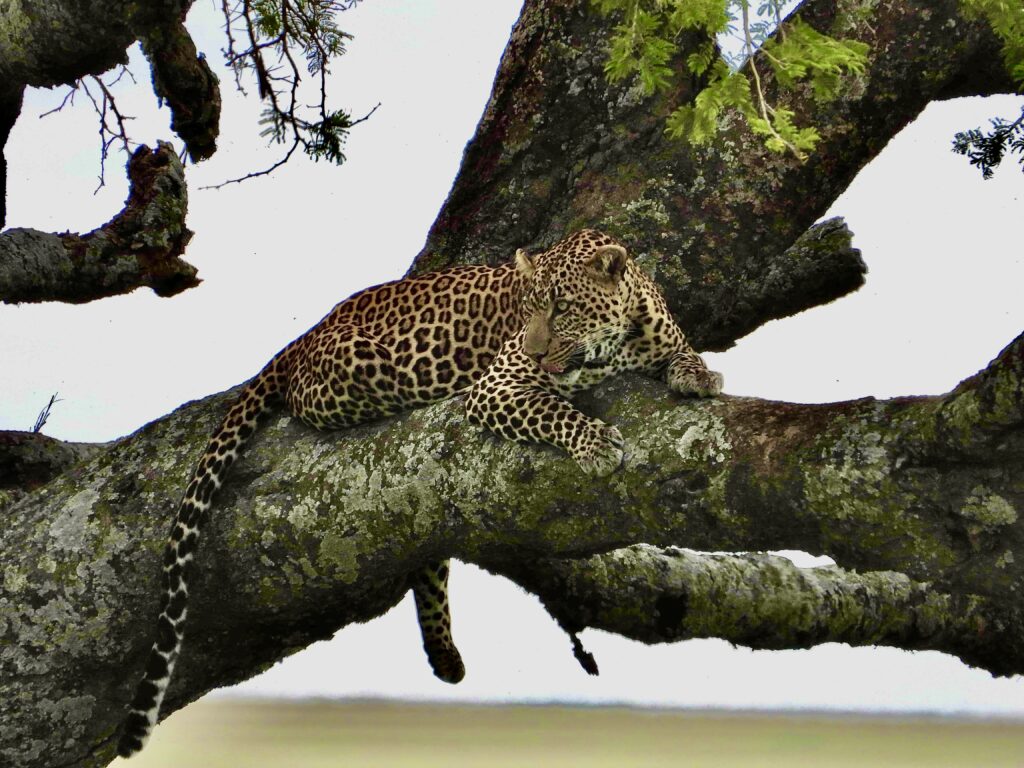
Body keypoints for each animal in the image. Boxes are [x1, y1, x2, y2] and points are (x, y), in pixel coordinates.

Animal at [116, 228, 720, 757]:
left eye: (563, 307)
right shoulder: (498, 385)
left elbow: (682, 356)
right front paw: (594, 442)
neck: (622, 338)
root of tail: (306, 333)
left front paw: (698, 374)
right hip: (368, 369)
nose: (535, 351)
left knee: (429, 560)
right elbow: (553, 409)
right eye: (527, 309)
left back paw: (445, 655)